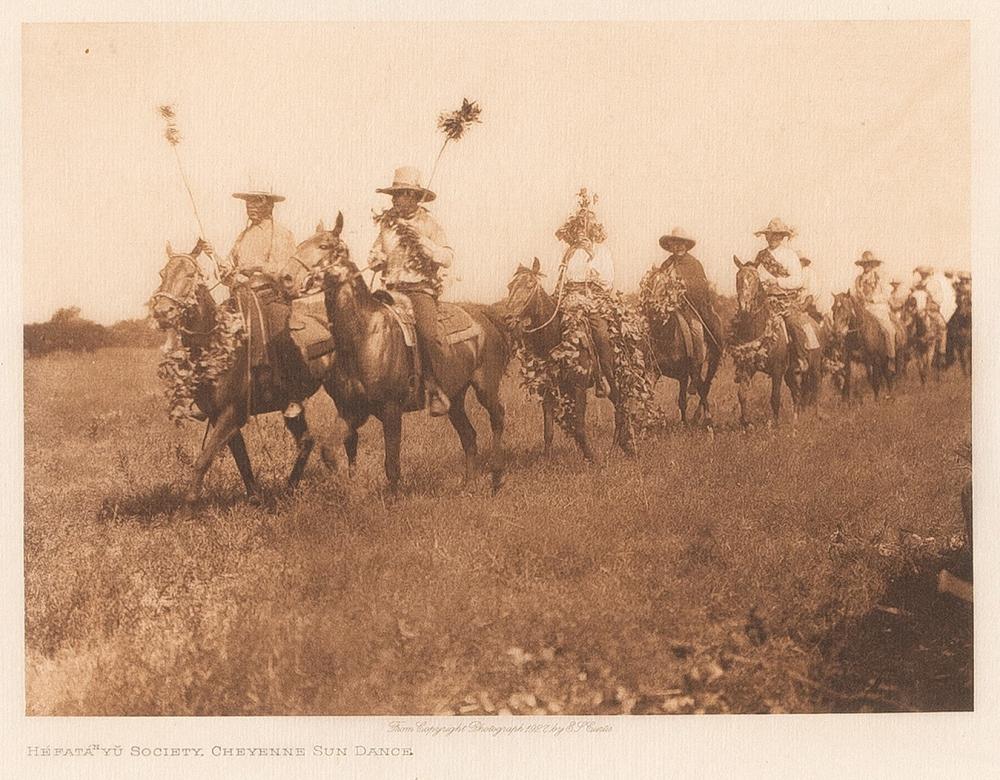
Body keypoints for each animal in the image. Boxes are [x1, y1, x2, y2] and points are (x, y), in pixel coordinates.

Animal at [148, 241, 336, 502]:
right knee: (306, 441)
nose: (163, 312)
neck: (215, 342)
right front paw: (254, 497)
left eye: (190, 275)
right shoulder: (219, 414)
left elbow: (204, 459)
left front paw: (189, 502)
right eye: (162, 274)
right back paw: (289, 488)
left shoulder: (231, 412)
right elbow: (241, 458)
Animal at [290, 224, 508, 494]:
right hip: (455, 397)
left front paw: (392, 499)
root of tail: (485, 316)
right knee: (469, 436)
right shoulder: (350, 410)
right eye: (301, 244)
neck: (364, 334)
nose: (288, 277)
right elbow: (329, 450)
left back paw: (496, 477)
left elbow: (391, 462)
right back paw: (468, 484)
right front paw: (351, 488)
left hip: (485, 386)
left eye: (323, 246)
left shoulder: (391, 408)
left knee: (497, 418)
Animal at [504, 256, 636, 464]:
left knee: (620, 408)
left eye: (530, 284)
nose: (507, 318)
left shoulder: (579, 387)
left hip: (612, 377)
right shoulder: (548, 389)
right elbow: (548, 431)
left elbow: (580, 428)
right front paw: (546, 461)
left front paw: (592, 459)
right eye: (510, 286)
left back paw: (620, 447)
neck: (556, 337)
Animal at [640, 266, 720, 430]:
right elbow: (649, 396)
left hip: (706, 363)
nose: (652, 305)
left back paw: (705, 419)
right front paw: (645, 424)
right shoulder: (653, 370)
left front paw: (684, 423)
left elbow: (683, 400)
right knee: (701, 386)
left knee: (704, 386)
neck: (666, 337)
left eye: (666, 286)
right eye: (651, 283)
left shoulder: (684, 373)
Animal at [728, 256, 820, 426]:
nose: (744, 306)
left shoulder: (777, 370)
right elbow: (742, 394)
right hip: (790, 372)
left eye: (755, 278)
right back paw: (795, 420)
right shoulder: (748, 366)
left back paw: (816, 416)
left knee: (816, 389)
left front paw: (775, 425)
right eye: (738, 278)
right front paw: (746, 423)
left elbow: (775, 398)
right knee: (797, 393)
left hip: (815, 367)